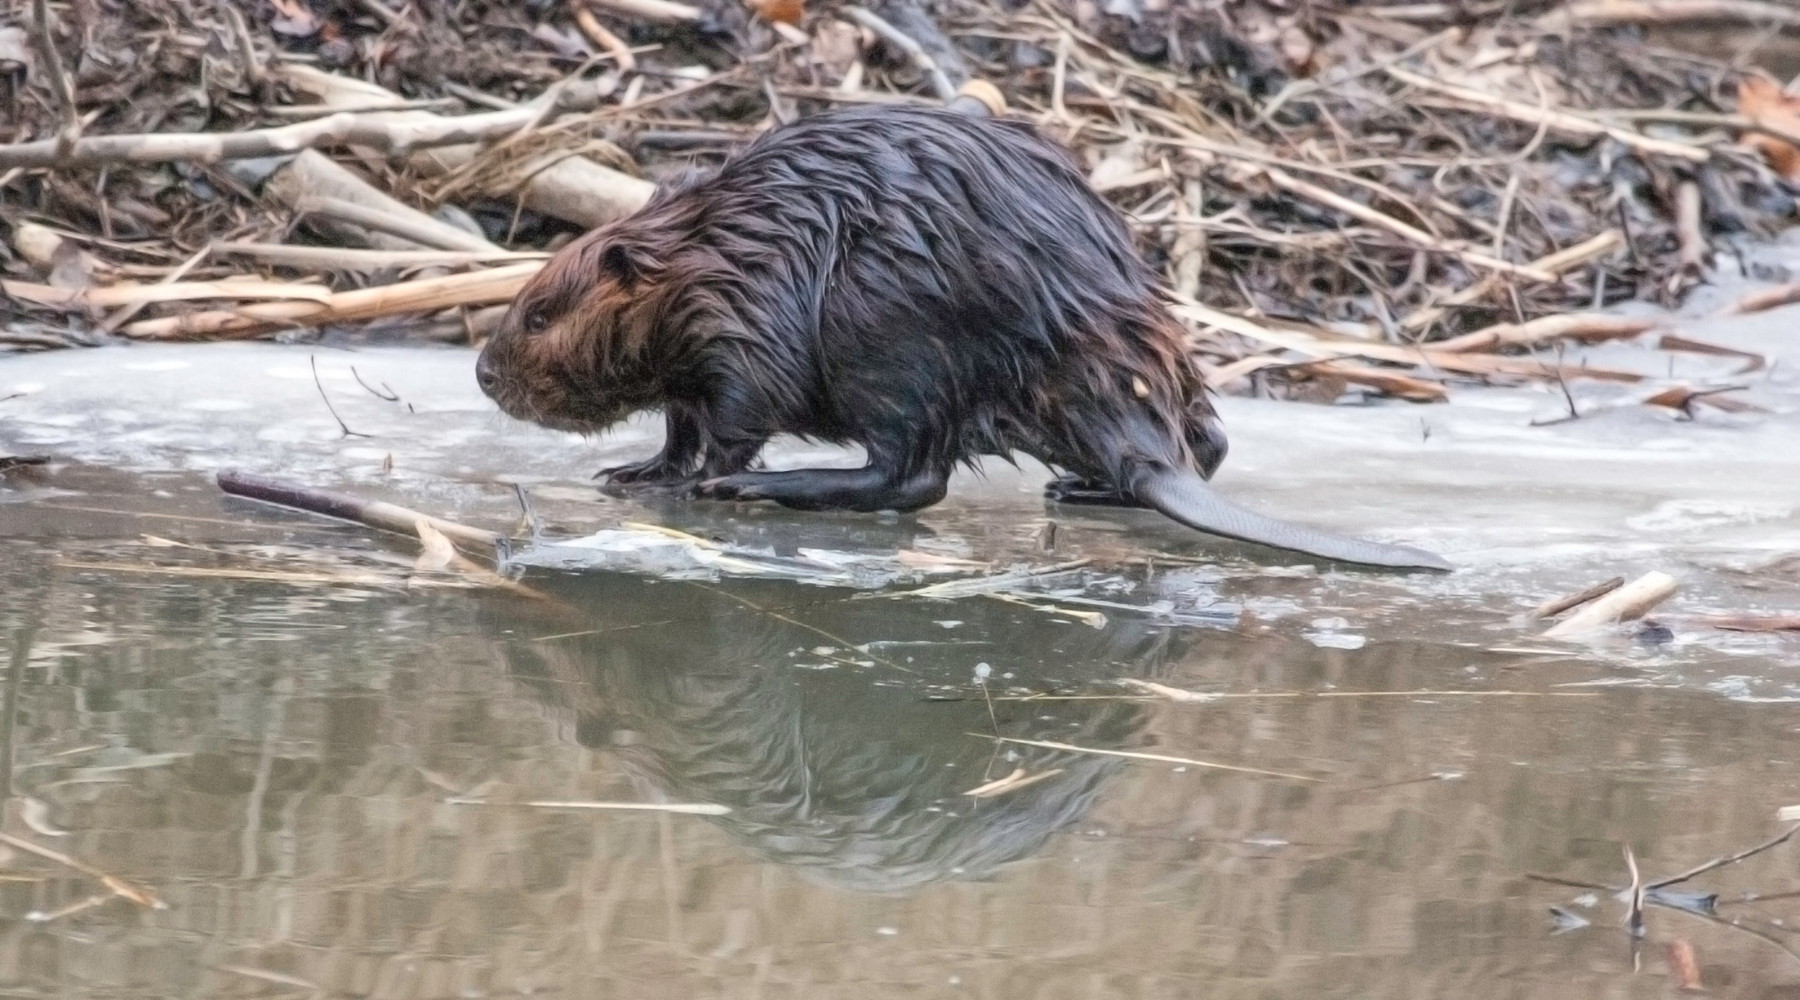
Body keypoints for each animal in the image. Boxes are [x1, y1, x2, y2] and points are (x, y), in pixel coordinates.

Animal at [475, 103, 1447, 571]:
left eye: (538, 314)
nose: (484, 373)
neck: (716, 248)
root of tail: (1146, 457)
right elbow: (680, 418)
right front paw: (634, 469)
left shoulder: (746, 320)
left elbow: (735, 416)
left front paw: (683, 480)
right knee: (1207, 440)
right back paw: (1078, 488)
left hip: (885, 338)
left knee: (913, 477)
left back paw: (765, 489)